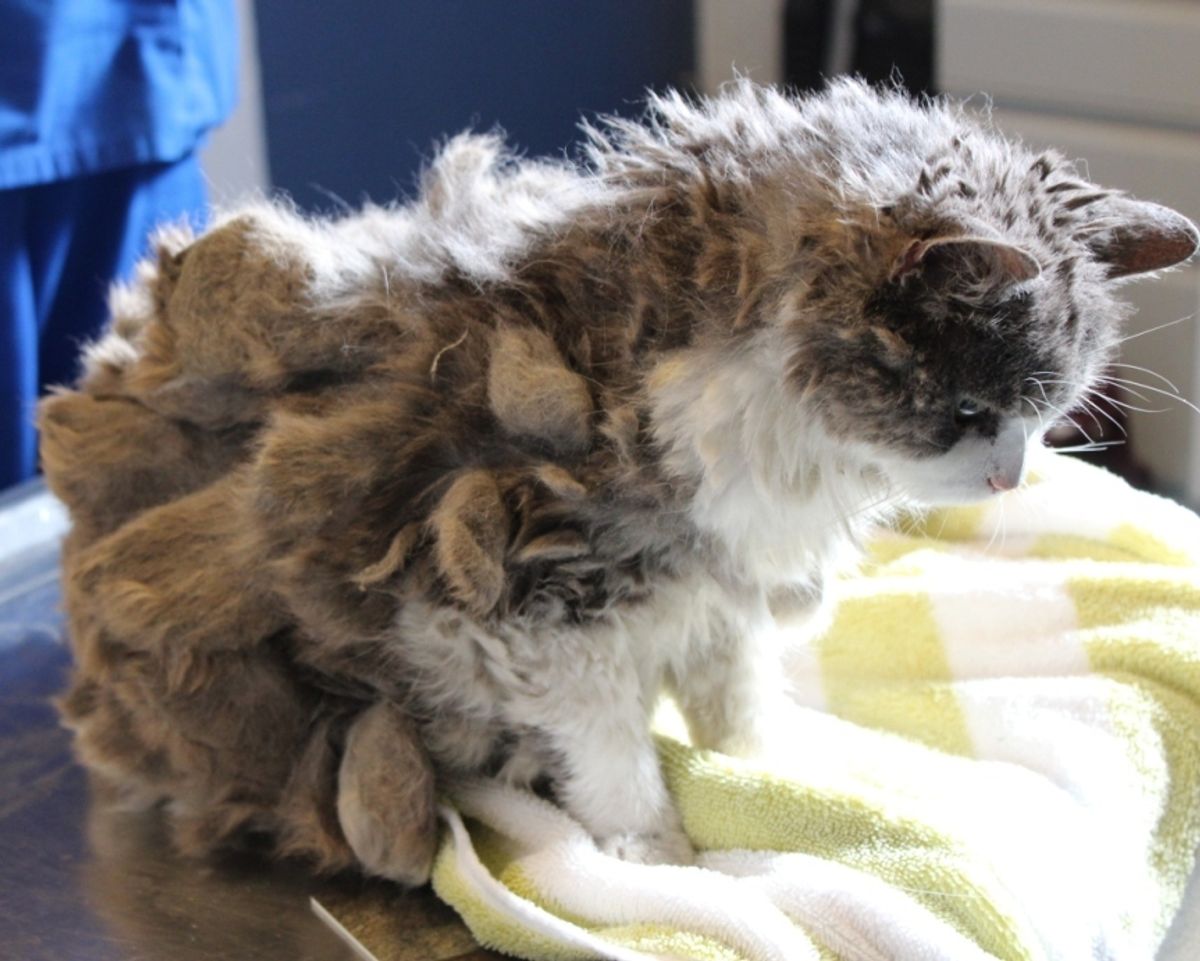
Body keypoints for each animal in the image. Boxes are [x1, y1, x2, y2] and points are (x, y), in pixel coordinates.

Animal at [39, 78, 1200, 883]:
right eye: (973, 413)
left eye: (1047, 416)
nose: (1008, 477)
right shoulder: (536, 622)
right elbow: (617, 764)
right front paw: (660, 856)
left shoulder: (716, 601)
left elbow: (740, 714)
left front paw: (768, 774)